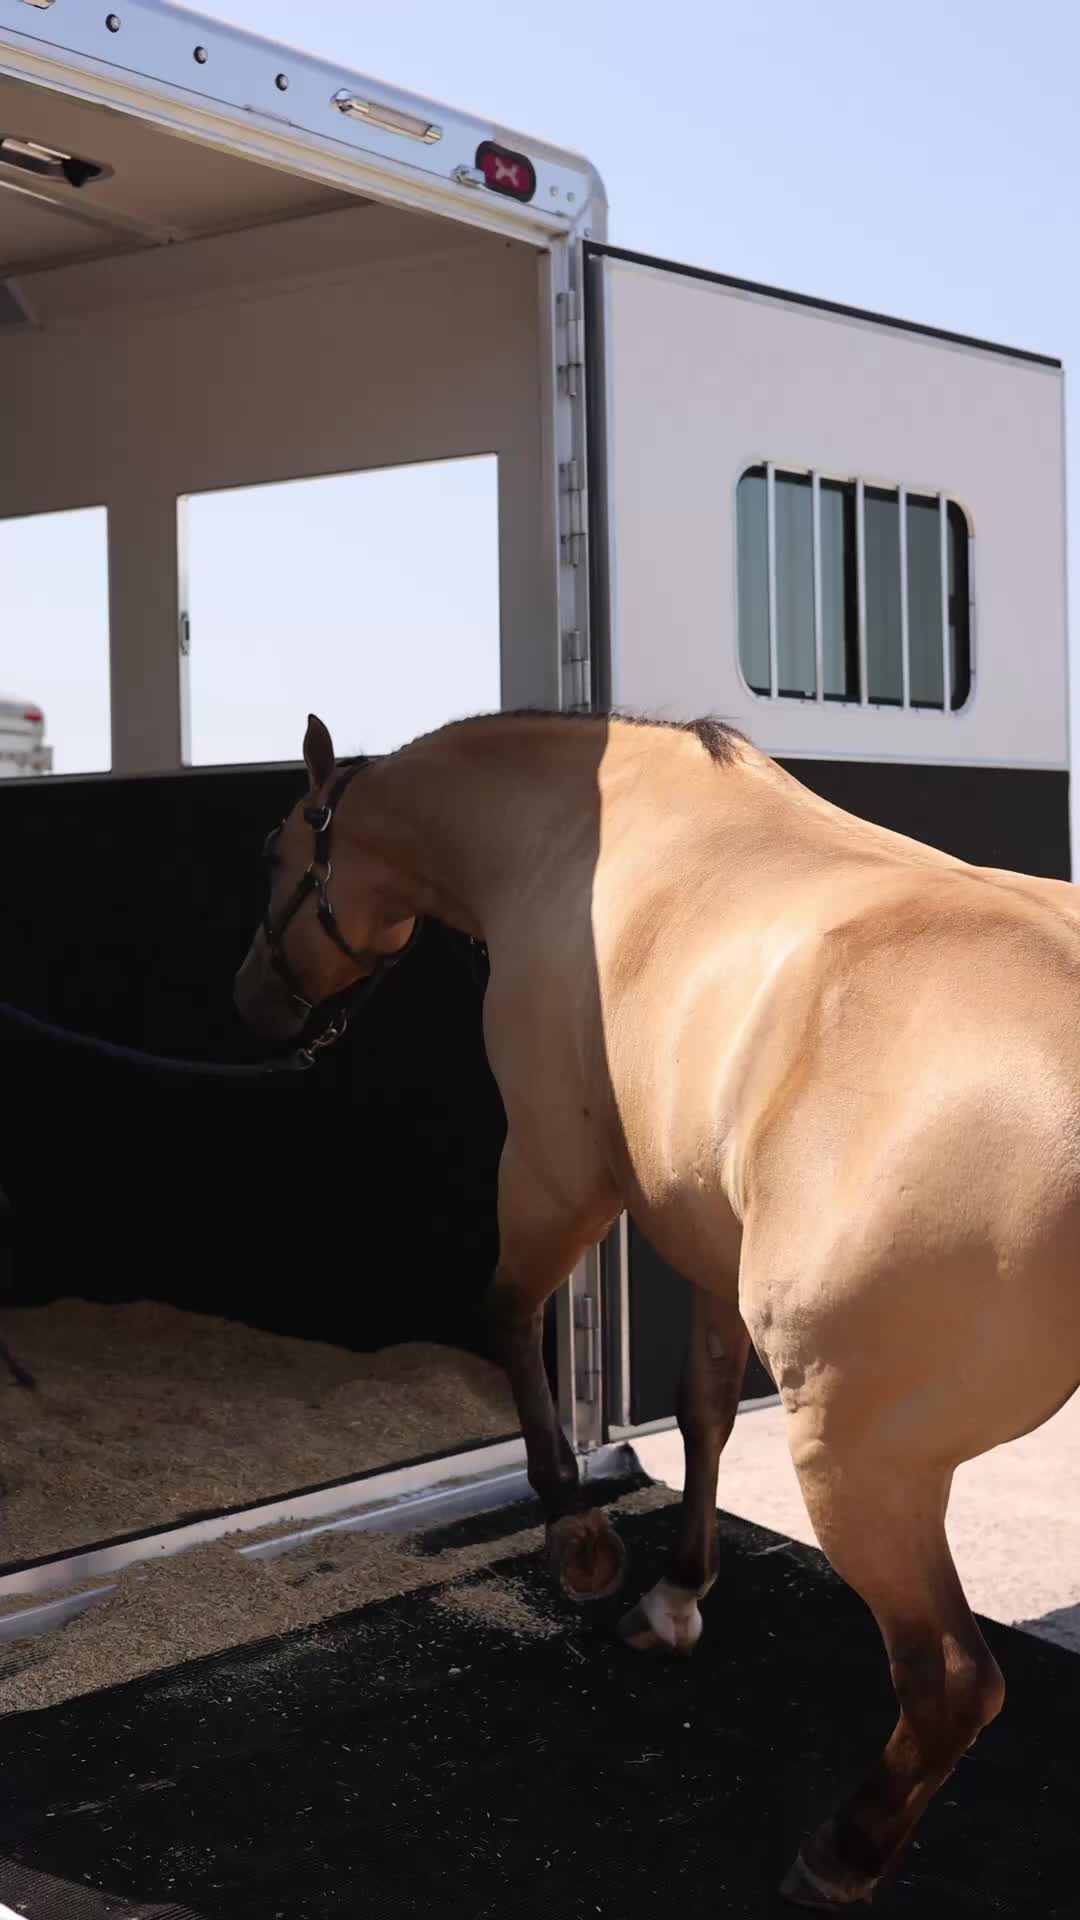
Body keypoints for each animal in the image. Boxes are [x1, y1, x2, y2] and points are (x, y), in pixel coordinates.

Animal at [234, 708, 1080, 1909]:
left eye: (274, 851)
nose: (249, 1001)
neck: (574, 838)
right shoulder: (703, 1241)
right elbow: (704, 1412)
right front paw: (677, 1594)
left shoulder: (554, 1175)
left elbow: (507, 1316)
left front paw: (579, 1539)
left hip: (860, 1458)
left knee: (950, 1682)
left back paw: (843, 1851)